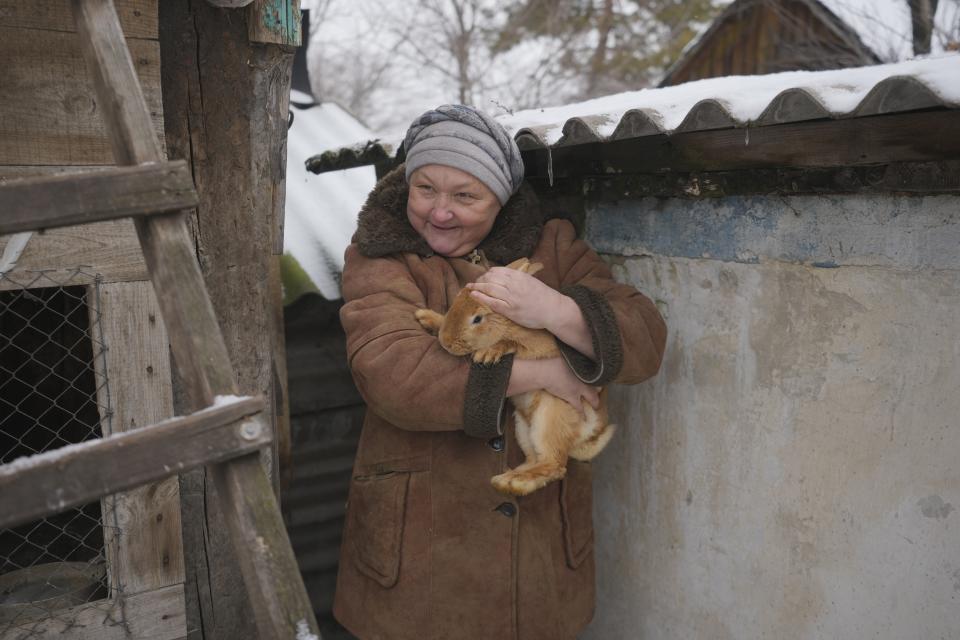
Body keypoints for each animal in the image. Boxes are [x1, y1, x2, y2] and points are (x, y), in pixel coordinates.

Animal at [414, 258, 616, 498]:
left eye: (478, 318)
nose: (445, 342)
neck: (507, 323)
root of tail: (590, 433)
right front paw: (425, 316)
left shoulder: (542, 345)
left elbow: (512, 343)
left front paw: (488, 353)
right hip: (523, 426)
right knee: (535, 459)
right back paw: (509, 478)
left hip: (549, 417)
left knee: (554, 464)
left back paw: (513, 482)